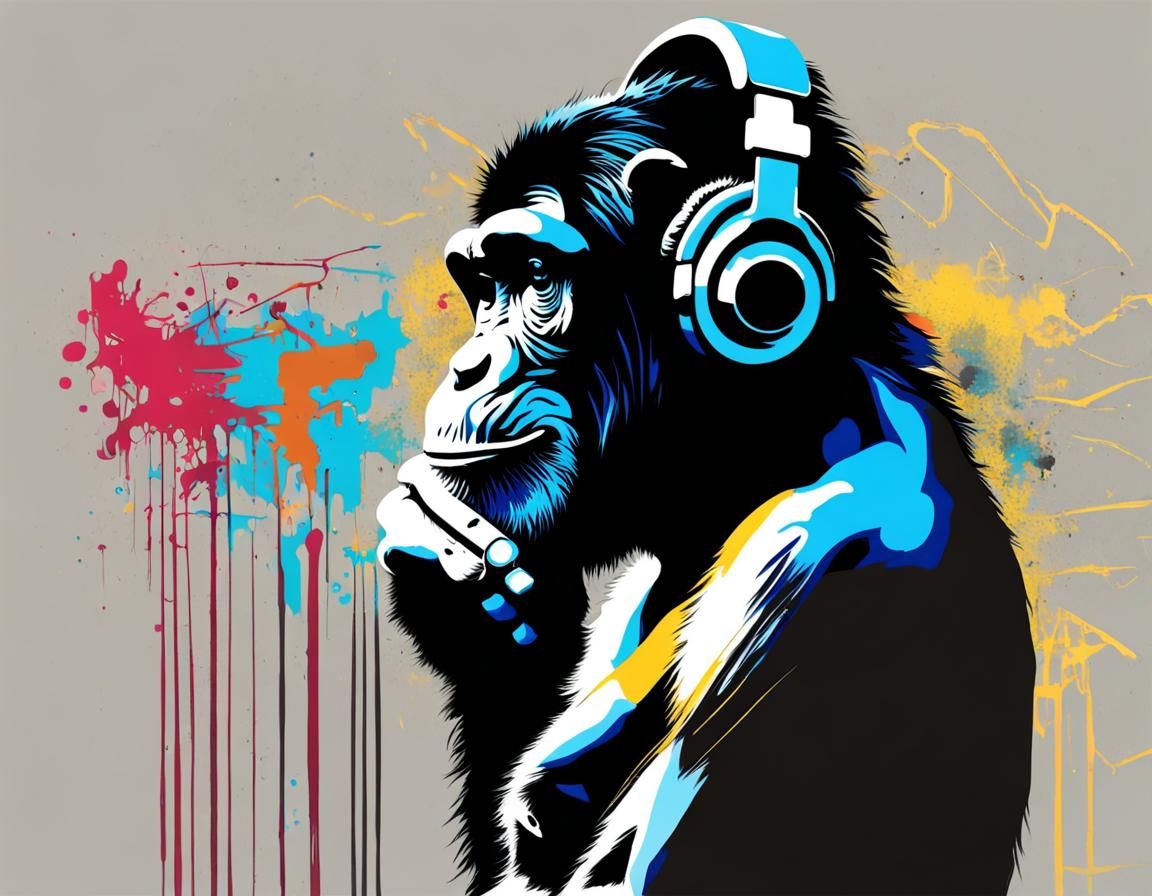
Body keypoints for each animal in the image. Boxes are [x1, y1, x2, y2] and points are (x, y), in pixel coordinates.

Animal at [377, 19, 1035, 896]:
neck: (753, 459)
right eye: (482, 287)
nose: (468, 364)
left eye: (537, 277)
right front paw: (479, 616)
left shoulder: (811, 555)